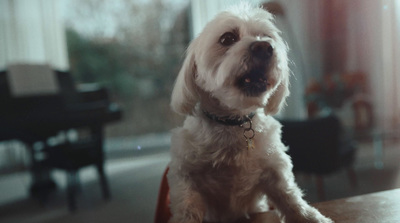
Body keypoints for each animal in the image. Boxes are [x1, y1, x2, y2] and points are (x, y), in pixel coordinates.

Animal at [167, 3, 332, 223]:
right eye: (227, 38)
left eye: (267, 37)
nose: (264, 47)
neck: (234, 121)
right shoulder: (184, 173)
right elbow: (187, 205)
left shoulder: (274, 169)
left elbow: (289, 196)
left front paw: (308, 216)